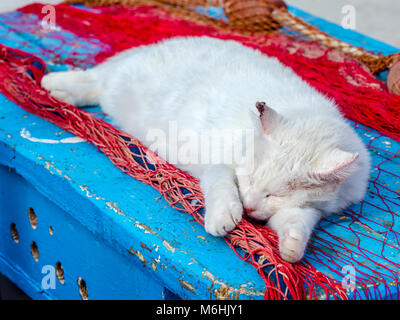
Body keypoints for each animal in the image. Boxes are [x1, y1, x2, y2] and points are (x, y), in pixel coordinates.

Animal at [42, 37, 370, 262]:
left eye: (274, 195)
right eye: (249, 178)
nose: (249, 205)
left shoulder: (314, 208)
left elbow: (298, 219)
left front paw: (292, 244)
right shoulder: (218, 161)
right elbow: (223, 184)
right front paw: (224, 215)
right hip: (123, 72)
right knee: (95, 77)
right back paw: (55, 84)